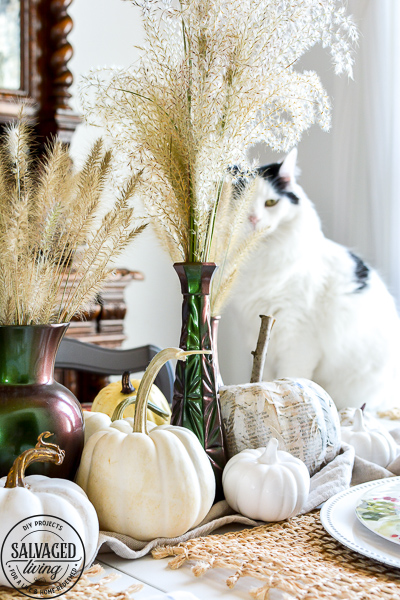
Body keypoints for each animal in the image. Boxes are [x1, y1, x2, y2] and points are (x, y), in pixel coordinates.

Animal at [234, 149, 400, 412]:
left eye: (271, 203)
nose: (253, 219)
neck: (259, 261)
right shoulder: (261, 338)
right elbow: (261, 375)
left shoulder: (297, 338)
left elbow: (287, 377)